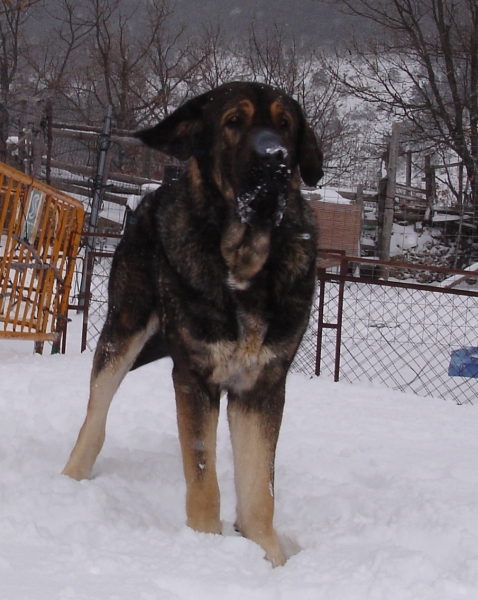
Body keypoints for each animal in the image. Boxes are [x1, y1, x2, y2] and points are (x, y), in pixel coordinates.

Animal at [62, 81, 322, 568]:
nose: (276, 159)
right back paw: (70, 478)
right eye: (234, 122)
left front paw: (268, 556)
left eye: (285, 124)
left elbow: (259, 489)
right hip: (124, 329)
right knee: (96, 412)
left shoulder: (260, 388)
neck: (242, 262)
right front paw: (207, 547)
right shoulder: (194, 378)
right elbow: (203, 477)